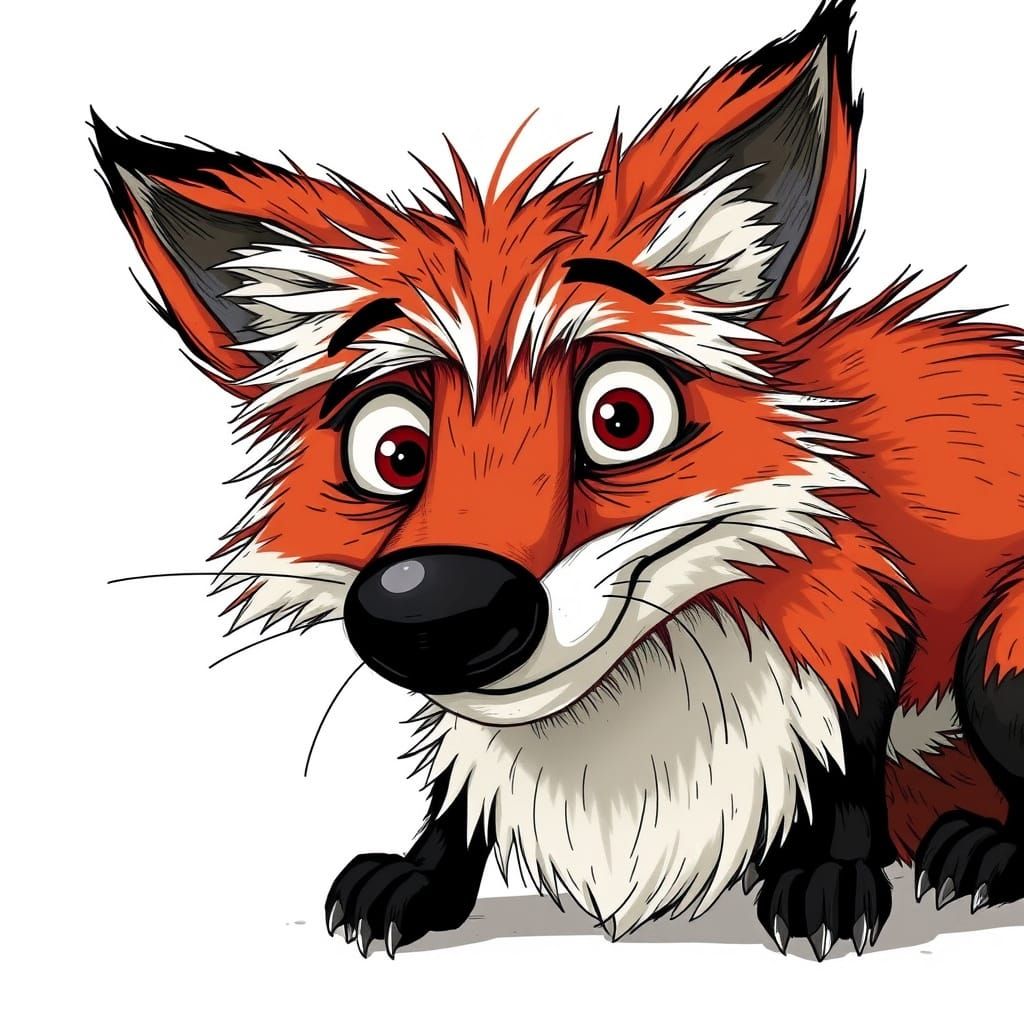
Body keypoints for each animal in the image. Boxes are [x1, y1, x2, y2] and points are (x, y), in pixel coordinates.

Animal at [94, 0, 1024, 961]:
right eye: (395, 451)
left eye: (622, 416)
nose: (435, 607)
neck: (622, 740)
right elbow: (455, 806)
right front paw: (420, 879)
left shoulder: (863, 617)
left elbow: (847, 765)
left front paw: (829, 878)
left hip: (1001, 650)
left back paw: (981, 853)